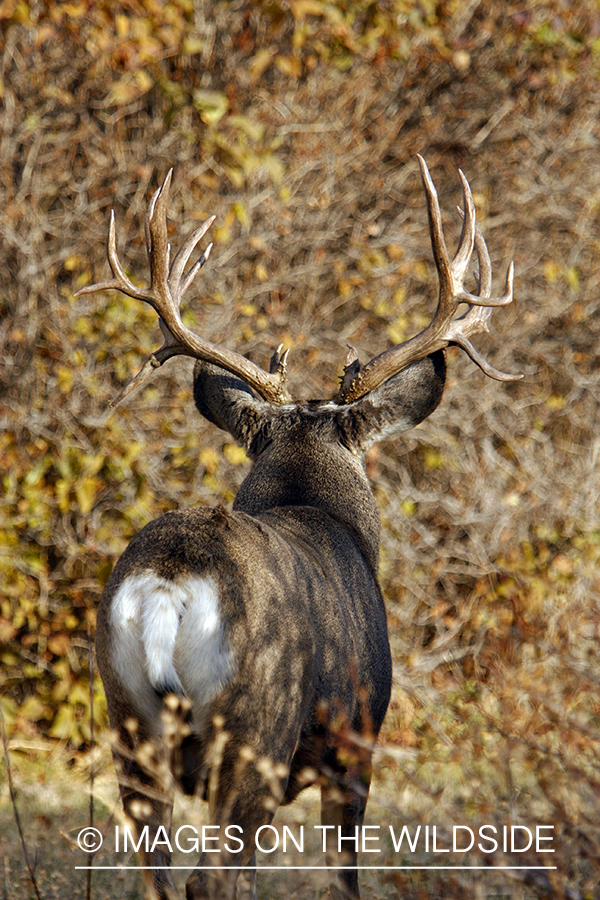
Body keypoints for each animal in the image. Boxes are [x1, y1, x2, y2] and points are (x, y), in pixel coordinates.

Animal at [77, 157, 519, 900]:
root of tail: (172, 581)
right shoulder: (356, 747)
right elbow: (344, 878)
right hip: (259, 727)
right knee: (212, 878)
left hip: (127, 717)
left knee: (159, 872)